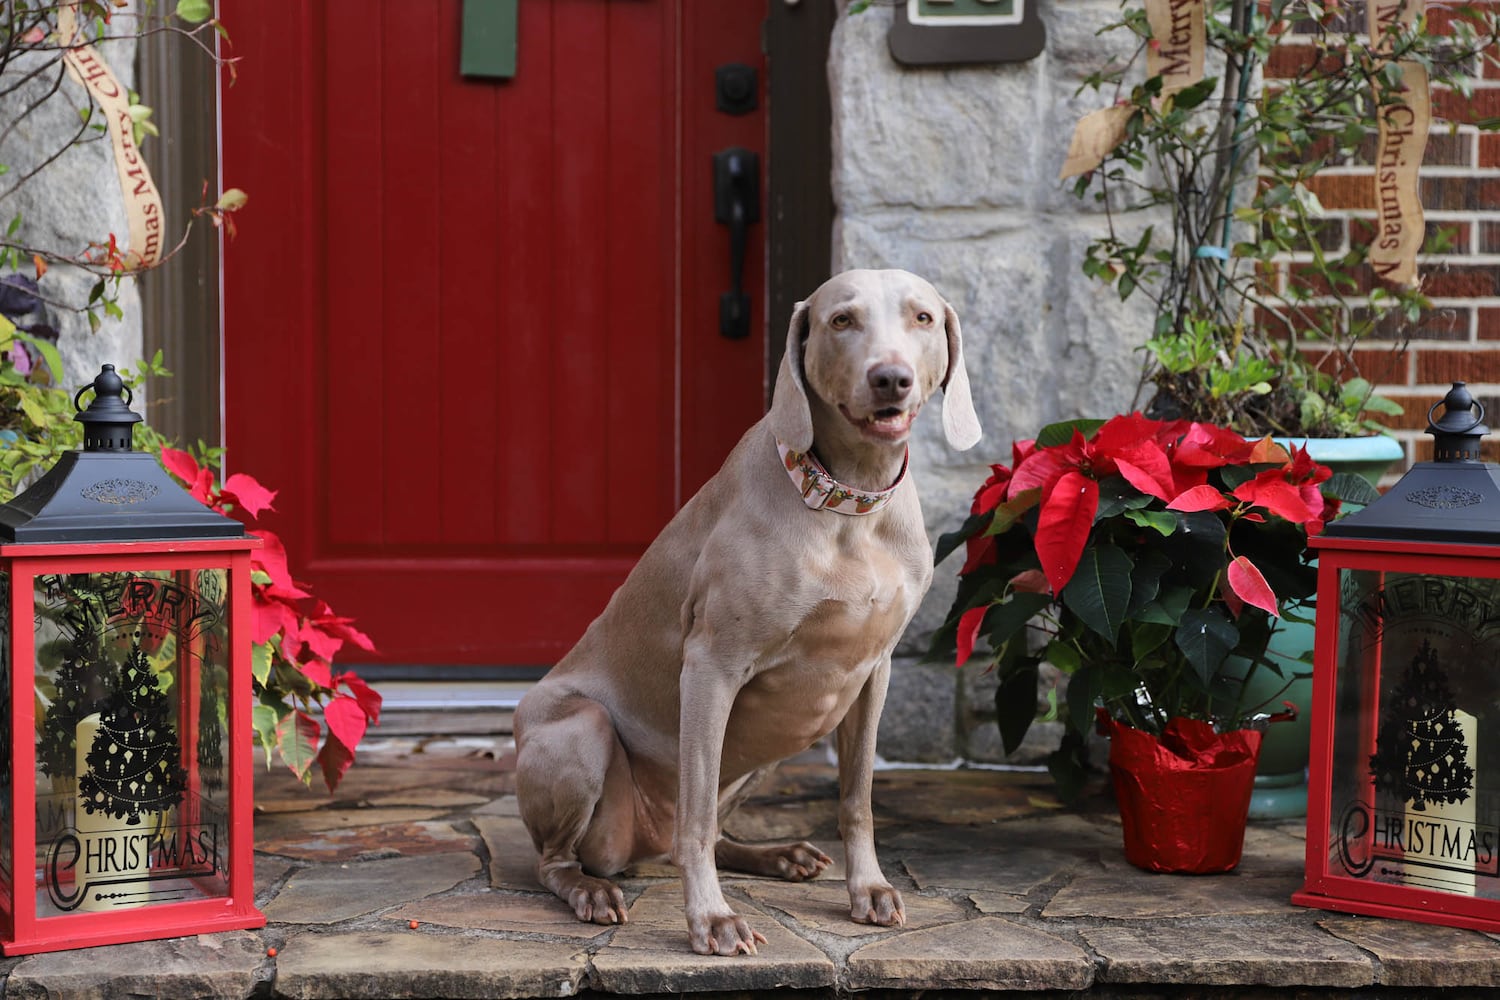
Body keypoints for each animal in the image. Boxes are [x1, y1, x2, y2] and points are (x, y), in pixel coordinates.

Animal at [516, 269, 984, 959]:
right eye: (841, 320)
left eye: (921, 317)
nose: (891, 378)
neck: (849, 502)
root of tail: (637, 847)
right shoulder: (711, 667)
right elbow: (697, 817)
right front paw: (712, 919)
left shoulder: (874, 672)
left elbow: (857, 797)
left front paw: (867, 889)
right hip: (581, 729)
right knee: (571, 856)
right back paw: (590, 891)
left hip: (779, 739)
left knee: (702, 831)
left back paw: (775, 854)